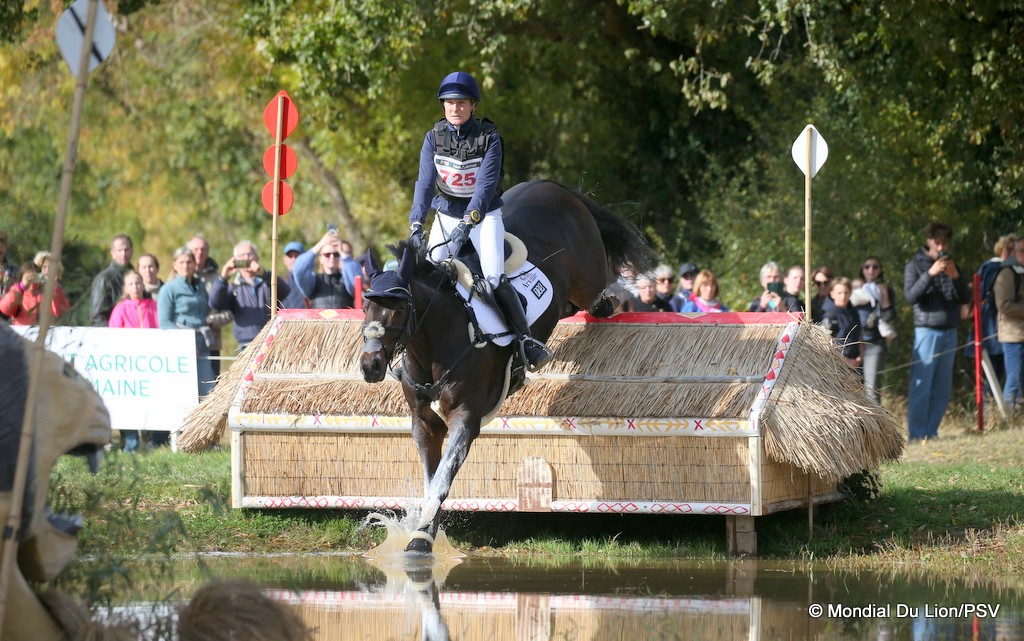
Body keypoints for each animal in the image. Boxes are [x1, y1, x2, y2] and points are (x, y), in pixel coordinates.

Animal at [359, 180, 656, 554]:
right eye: (365, 307)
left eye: (398, 309)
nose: (370, 366)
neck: (436, 345)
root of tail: (550, 186)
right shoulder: (423, 422)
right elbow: (432, 477)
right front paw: (426, 528)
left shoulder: (466, 419)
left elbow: (442, 479)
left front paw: (421, 539)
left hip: (587, 278)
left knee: (597, 292)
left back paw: (606, 303)